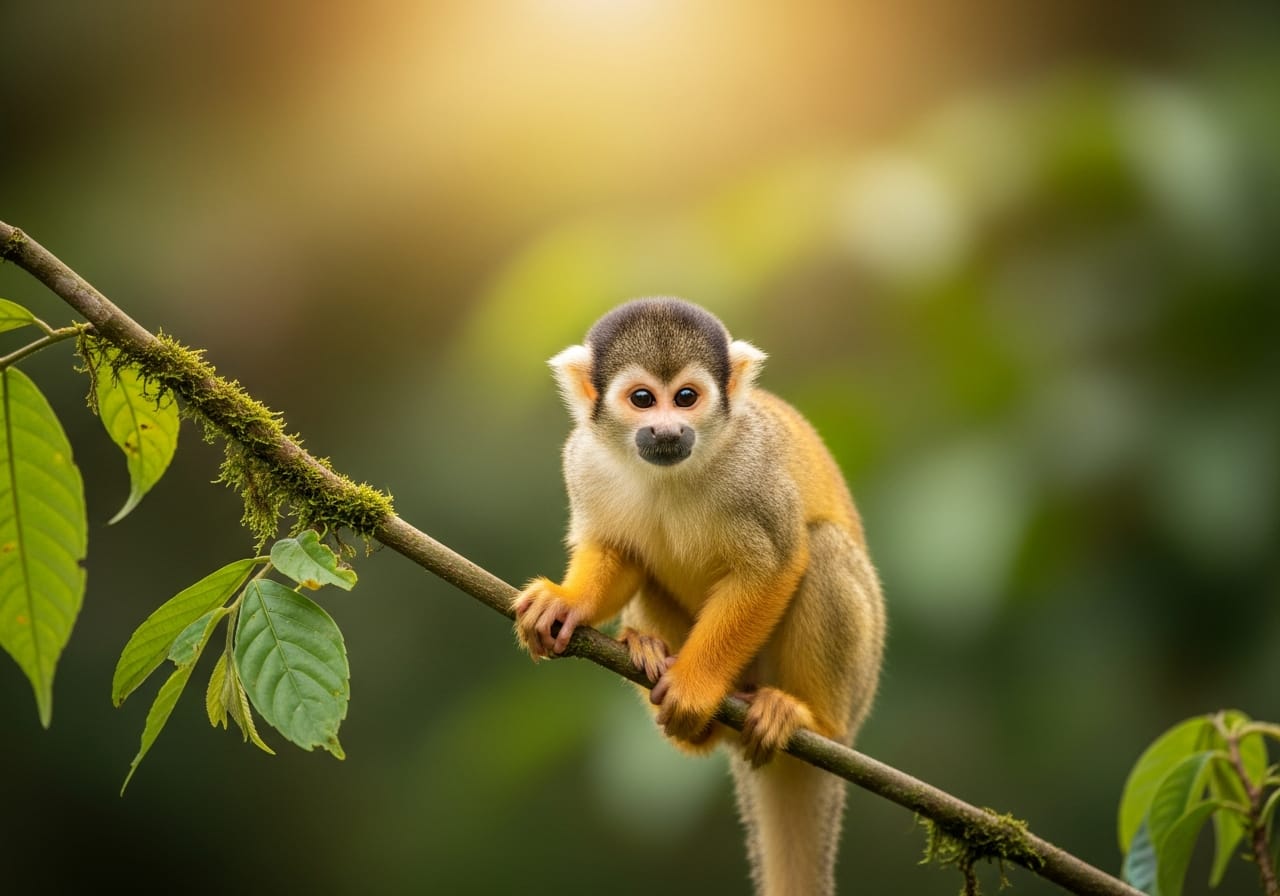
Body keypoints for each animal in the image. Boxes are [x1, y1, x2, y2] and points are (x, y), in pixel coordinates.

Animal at [513, 297, 886, 896]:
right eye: (643, 399)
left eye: (686, 397)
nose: (668, 429)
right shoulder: (584, 462)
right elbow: (618, 552)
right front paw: (567, 603)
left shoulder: (754, 471)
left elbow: (775, 565)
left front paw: (695, 686)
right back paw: (655, 661)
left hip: (852, 689)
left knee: (823, 548)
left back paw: (807, 718)